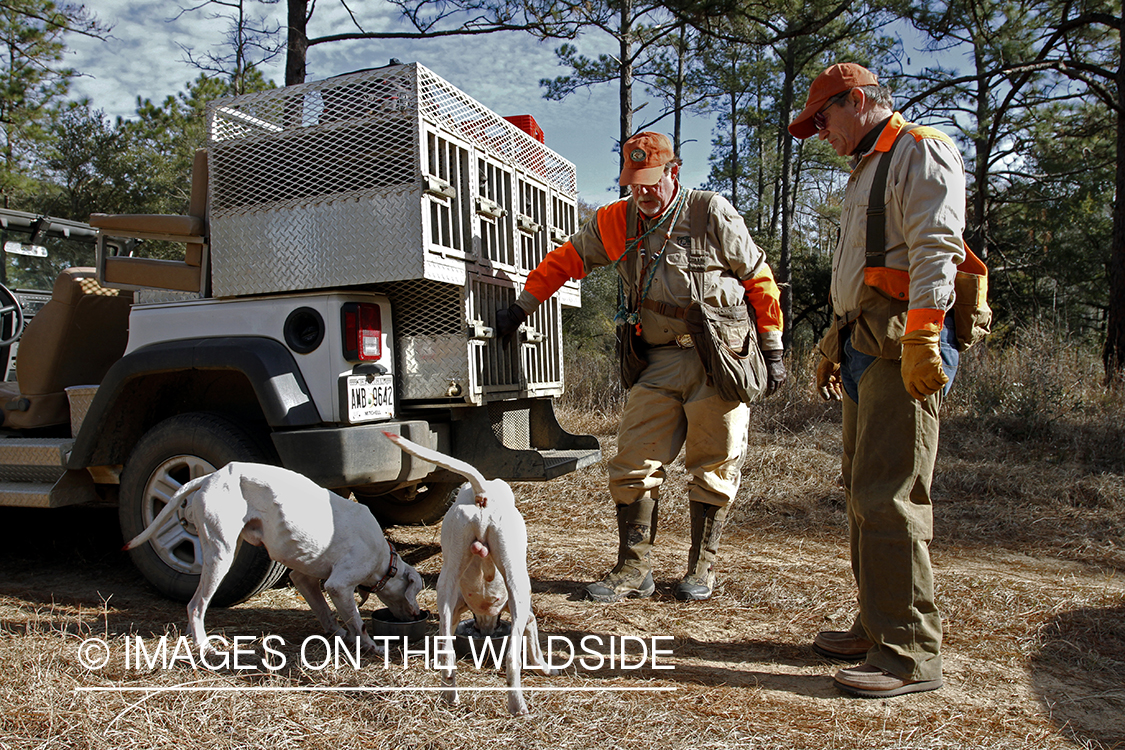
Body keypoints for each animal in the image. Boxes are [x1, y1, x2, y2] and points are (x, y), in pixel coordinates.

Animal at [122, 463, 423, 656]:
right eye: (416, 592)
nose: (417, 614)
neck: (383, 560)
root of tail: (208, 478)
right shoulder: (338, 585)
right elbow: (358, 622)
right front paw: (371, 646)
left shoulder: (304, 579)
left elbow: (326, 613)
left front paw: (339, 633)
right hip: (221, 555)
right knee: (195, 605)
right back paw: (205, 646)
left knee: (194, 609)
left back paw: (193, 638)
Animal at [384, 434, 555, 715]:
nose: (483, 628)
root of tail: (482, 493)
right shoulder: (525, 611)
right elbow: (533, 635)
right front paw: (544, 667)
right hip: (519, 585)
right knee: (511, 658)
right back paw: (518, 707)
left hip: (447, 583)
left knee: (446, 652)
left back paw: (450, 696)